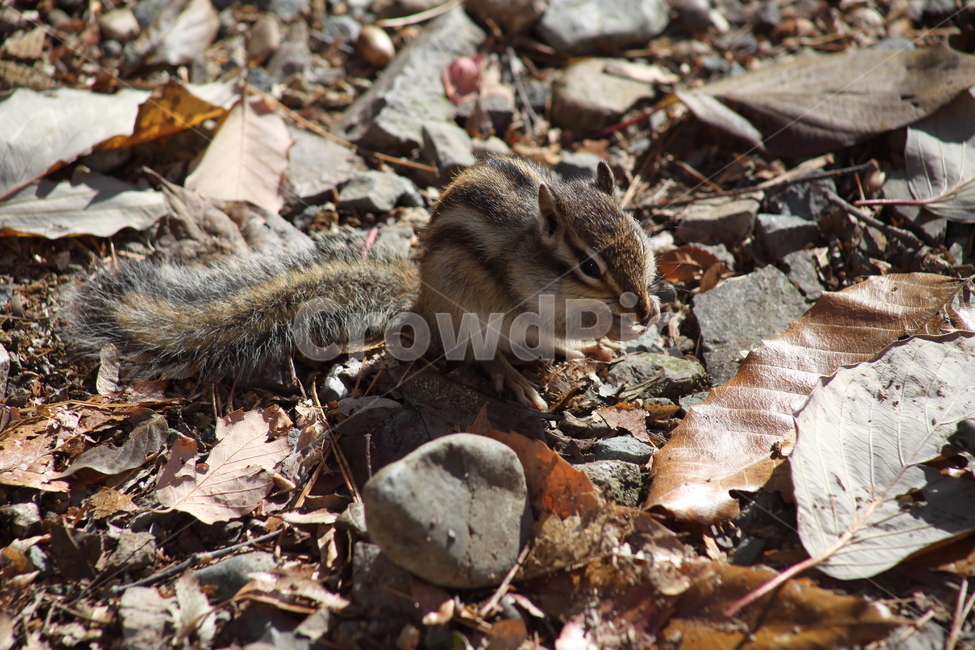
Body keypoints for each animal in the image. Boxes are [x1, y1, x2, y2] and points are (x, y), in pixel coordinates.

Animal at [68, 157, 659, 409]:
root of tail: (421, 302)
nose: (645, 308)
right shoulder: (527, 294)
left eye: (640, 237)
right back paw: (516, 377)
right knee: (485, 353)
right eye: (589, 265)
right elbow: (557, 315)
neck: (531, 248)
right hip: (472, 315)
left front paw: (632, 323)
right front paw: (620, 325)